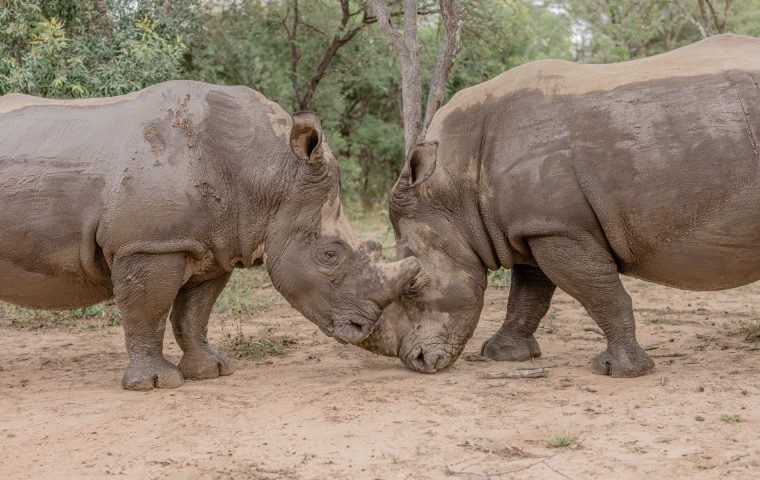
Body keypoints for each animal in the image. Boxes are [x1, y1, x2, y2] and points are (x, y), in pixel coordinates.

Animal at [0, 80, 421, 390]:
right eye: (330, 254)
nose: (363, 327)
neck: (268, 173)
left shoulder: (214, 245)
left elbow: (194, 313)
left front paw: (212, 371)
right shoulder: (150, 244)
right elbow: (148, 311)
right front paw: (155, 384)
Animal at [358, 34, 760, 377]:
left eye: (414, 287)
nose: (418, 361)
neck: (452, 186)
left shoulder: (559, 227)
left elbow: (601, 294)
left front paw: (621, 371)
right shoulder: (532, 226)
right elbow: (528, 296)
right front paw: (503, 356)